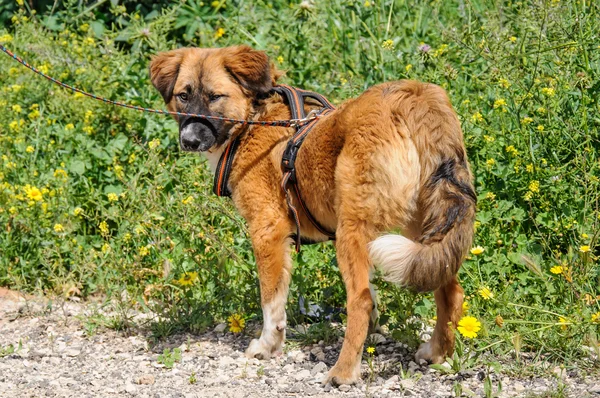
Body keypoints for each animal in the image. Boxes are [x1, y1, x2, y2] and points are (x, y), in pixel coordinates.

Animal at [151, 45, 478, 384]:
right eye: (183, 95)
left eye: (215, 96)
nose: (189, 140)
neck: (254, 120)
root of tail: (413, 98)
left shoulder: (267, 230)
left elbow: (272, 303)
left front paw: (267, 345)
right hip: (422, 229)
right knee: (450, 290)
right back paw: (438, 353)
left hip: (352, 229)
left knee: (359, 299)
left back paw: (343, 371)